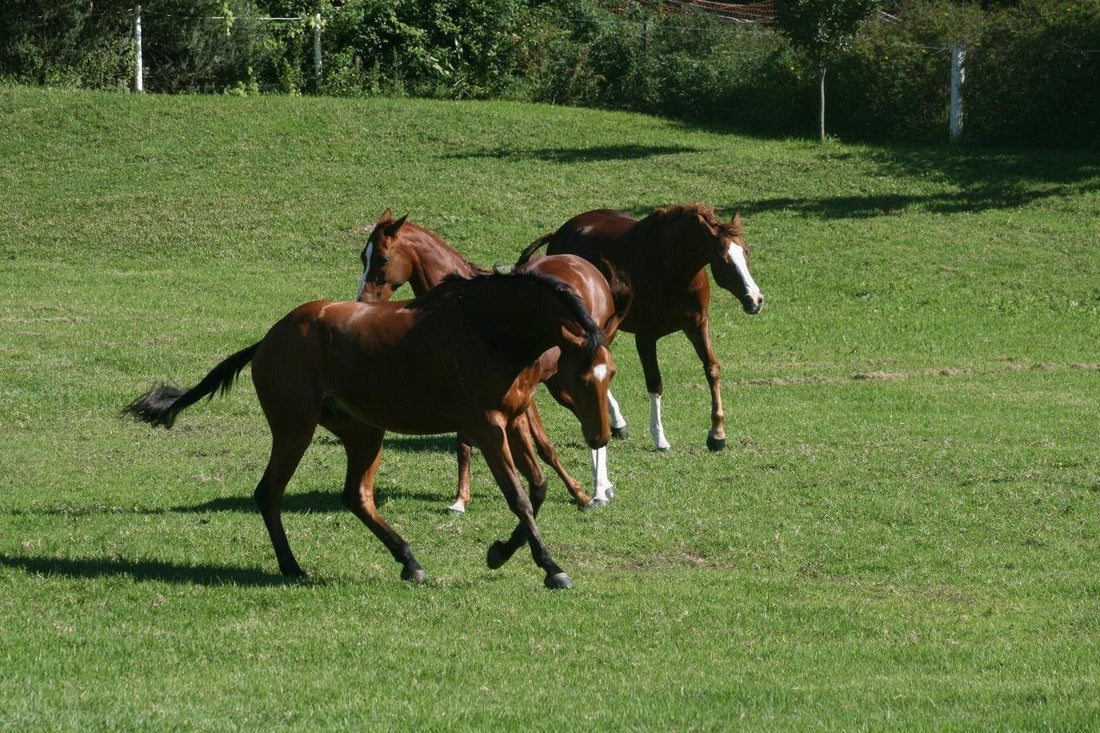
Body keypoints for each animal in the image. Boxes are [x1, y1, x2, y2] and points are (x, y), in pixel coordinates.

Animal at [123, 270, 615, 590]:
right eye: (581, 377)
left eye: (610, 373)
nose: (601, 438)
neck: (491, 327)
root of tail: (268, 339)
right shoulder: (487, 426)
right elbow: (519, 497)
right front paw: (551, 567)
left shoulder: (513, 419)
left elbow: (538, 487)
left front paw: (500, 552)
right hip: (295, 429)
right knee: (269, 494)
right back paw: (292, 567)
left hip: (364, 433)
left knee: (356, 496)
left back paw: (409, 562)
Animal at [358, 209, 625, 511]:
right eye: (363, 256)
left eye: (382, 258)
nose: (362, 299)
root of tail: (585, 267)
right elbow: (464, 443)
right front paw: (461, 498)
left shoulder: (523, 398)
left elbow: (545, 448)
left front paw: (578, 493)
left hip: (564, 385)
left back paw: (600, 488)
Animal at [517, 203, 764, 452]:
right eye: (723, 259)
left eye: (746, 252)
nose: (755, 299)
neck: (672, 269)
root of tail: (560, 233)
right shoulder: (645, 337)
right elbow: (655, 382)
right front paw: (660, 438)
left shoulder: (698, 325)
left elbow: (712, 369)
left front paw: (717, 434)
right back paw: (617, 422)